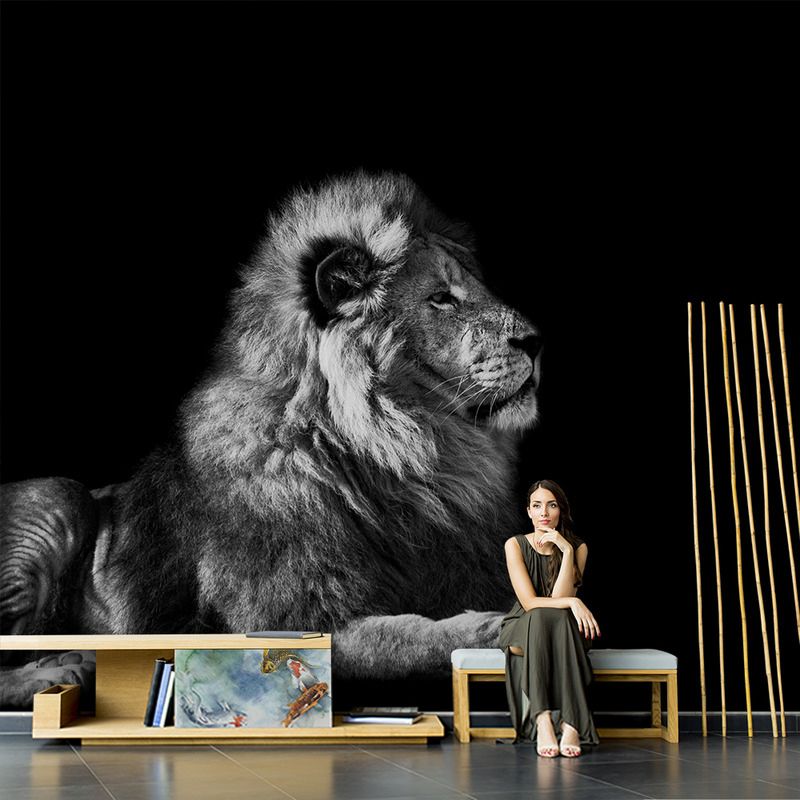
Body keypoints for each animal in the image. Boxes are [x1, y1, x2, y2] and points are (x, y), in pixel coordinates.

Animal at [0, 170, 541, 704]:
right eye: (441, 298)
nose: (536, 341)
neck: (405, 460)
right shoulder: (286, 619)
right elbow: (406, 640)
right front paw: (494, 627)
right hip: (60, 495)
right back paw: (59, 672)